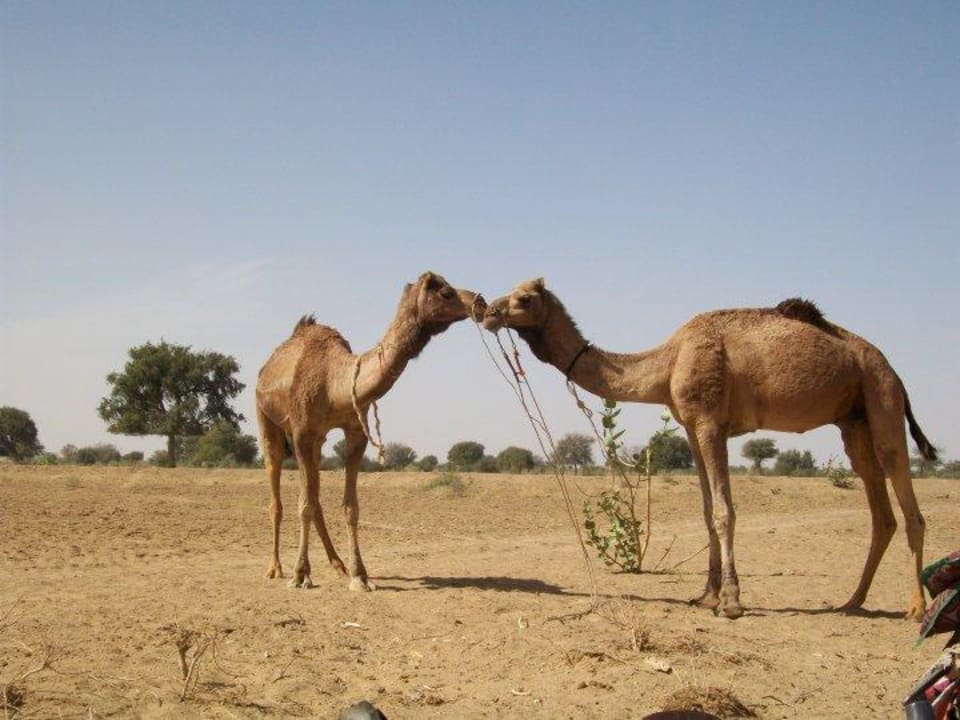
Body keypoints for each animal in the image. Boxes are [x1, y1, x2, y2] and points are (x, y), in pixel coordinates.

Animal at [256, 271, 485, 591]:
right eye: (446, 293)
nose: (481, 302)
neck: (335, 383)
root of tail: (266, 368)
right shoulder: (301, 433)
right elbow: (304, 505)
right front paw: (300, 575)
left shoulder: (356, 434)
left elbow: (350, 507)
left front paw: (359, 575)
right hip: (266, 418)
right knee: (276, 490)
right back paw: (276, 568)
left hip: (317, 441)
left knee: (316, 497)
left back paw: (337, 564)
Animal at [483, 278, 937, 619]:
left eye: (523, 298)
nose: (487, 312)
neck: (668, 362)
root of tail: (895, 372)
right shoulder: (690, 428)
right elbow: (704, 512)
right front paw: (707, 595)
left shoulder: (710, 424)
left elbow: (723, 511)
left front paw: (732, 602)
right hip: (853, 421)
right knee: (881, 512)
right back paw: (853, 601)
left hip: (881, 398)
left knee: (908, 501)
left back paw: (916, 607)